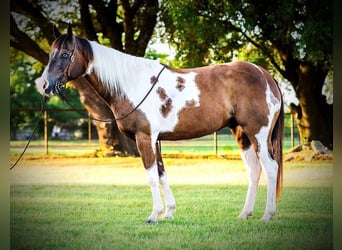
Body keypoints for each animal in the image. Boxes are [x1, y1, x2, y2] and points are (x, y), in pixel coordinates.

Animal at [36, 24, 284, 222]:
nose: (45, 85)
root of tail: (266, 75)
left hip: (258, 134)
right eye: (51, 54)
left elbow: (151, 175)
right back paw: (245, 214)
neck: (131, 83)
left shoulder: (144, 138)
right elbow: (162, 172)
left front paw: (154, 215)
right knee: (254, 170)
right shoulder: (156, 140)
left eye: (65, 54)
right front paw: (169, 211)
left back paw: (267, 215)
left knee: (271, 168)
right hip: (242, 134)